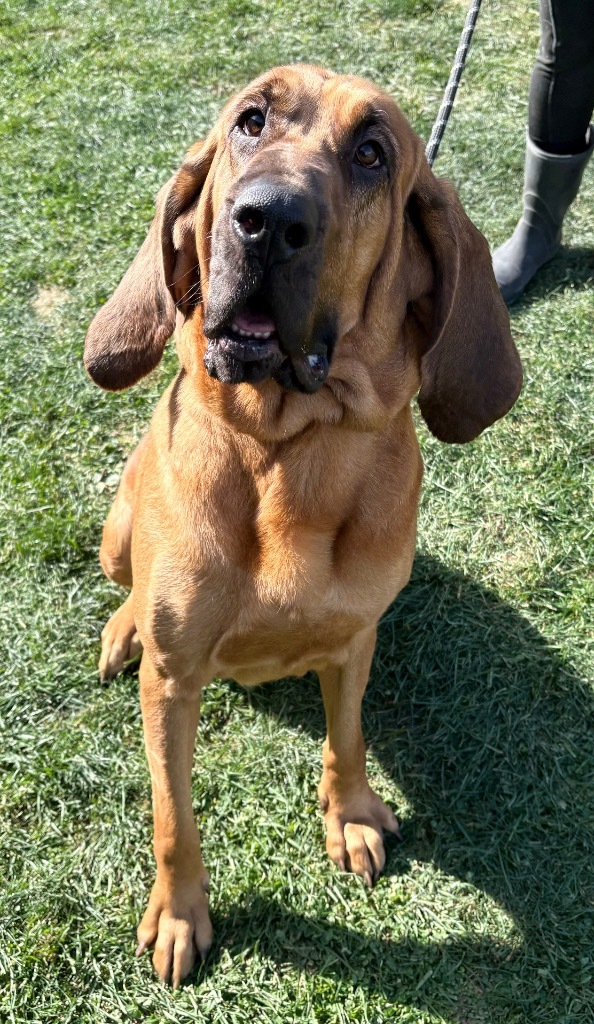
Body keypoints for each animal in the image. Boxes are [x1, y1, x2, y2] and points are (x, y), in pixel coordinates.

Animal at [82, 61, 520, 983]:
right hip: (115, 532)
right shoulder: (172, 682)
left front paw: (349, 814)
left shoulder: (355, 639)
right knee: (126, 588)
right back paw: (122, 625)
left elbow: (346, 737)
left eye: (371, 153)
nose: (268, 219)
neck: (291, 448)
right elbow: (173, 817)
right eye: (251, 120)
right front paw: (180, 916)